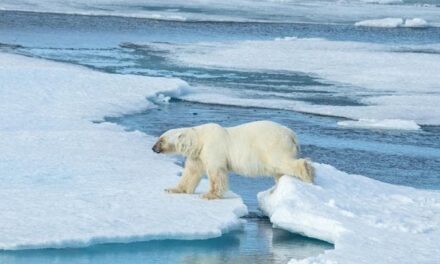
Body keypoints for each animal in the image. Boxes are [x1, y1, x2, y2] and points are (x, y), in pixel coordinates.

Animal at [151, 120, 312, 199]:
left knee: (281, 162)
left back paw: (307, 174)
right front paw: (173, 189)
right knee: (278, 170)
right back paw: (275, 190)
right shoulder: (198, 155)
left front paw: (209, 194)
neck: (200, 140)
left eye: (161, 140)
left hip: (273, 145)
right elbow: (191, 172)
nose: (153, 148)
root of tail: (292, 135)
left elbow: (216, 173)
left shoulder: (213, 148)